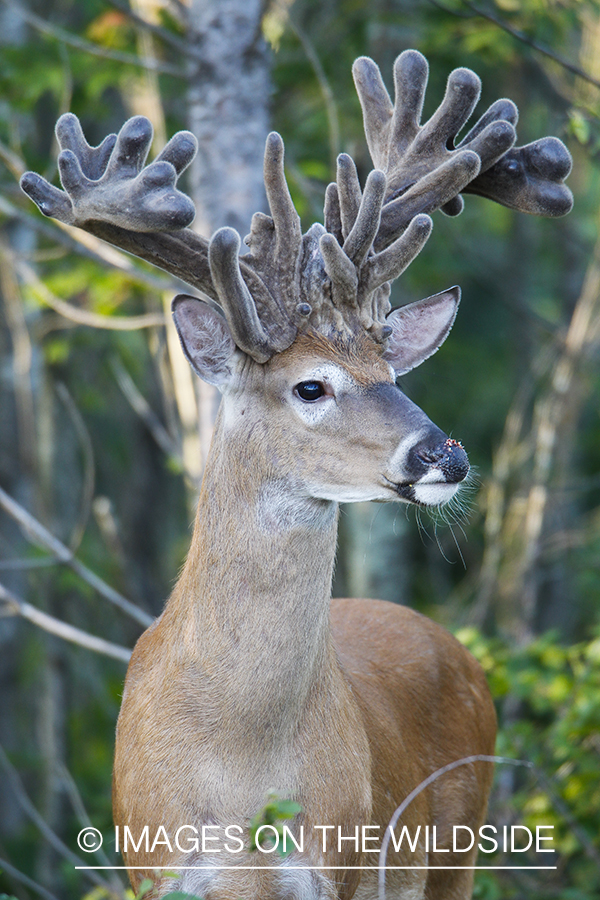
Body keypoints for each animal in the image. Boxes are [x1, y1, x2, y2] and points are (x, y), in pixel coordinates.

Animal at [21, 50, 572, 900]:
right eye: (311, 386)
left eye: (390, 370)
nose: (443, 454)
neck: (241, 770)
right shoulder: (150, 862)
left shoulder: (336, 867)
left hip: (456, 853)